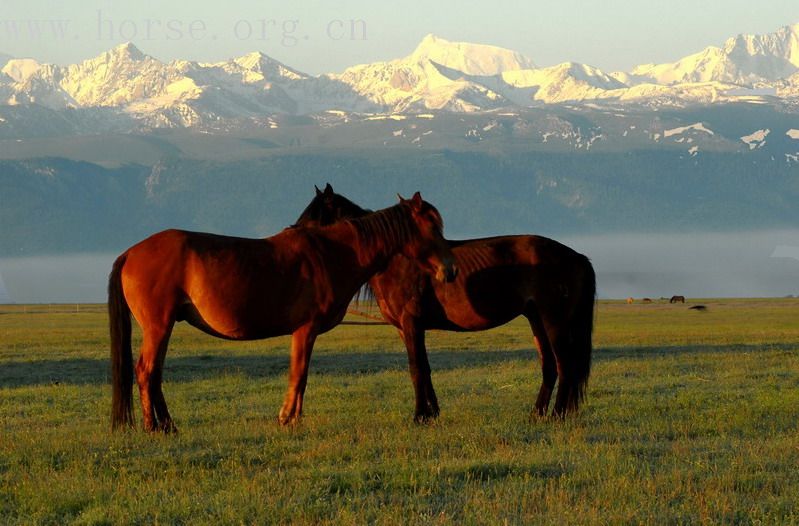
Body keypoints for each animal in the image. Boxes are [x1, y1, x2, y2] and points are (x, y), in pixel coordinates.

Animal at [109, 194, 456, 434]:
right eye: (432, 227)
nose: (450, 270)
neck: (332, 254)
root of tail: (130, 253)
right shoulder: (305, 329)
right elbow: (298, 375)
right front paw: (287, 417)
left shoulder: (304, 333)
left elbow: (300, 376)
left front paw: (293, 418)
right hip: (159, 327)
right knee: (146, 371)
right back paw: (155, 427)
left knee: (153, 374)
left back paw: (167, 425)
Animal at [294, 185, 592, 420]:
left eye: (313, 215)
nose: (292, 234)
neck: (399, 260)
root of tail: (575, 256)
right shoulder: (405, 328)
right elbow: (424, 368)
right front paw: (432, 413)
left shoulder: (411, 323)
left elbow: (416, 369)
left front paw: (419, 415)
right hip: (536, 319)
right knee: (549, 366)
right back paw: (537, 413)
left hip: (554, 321)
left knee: (565, 365)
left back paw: (557, 415)